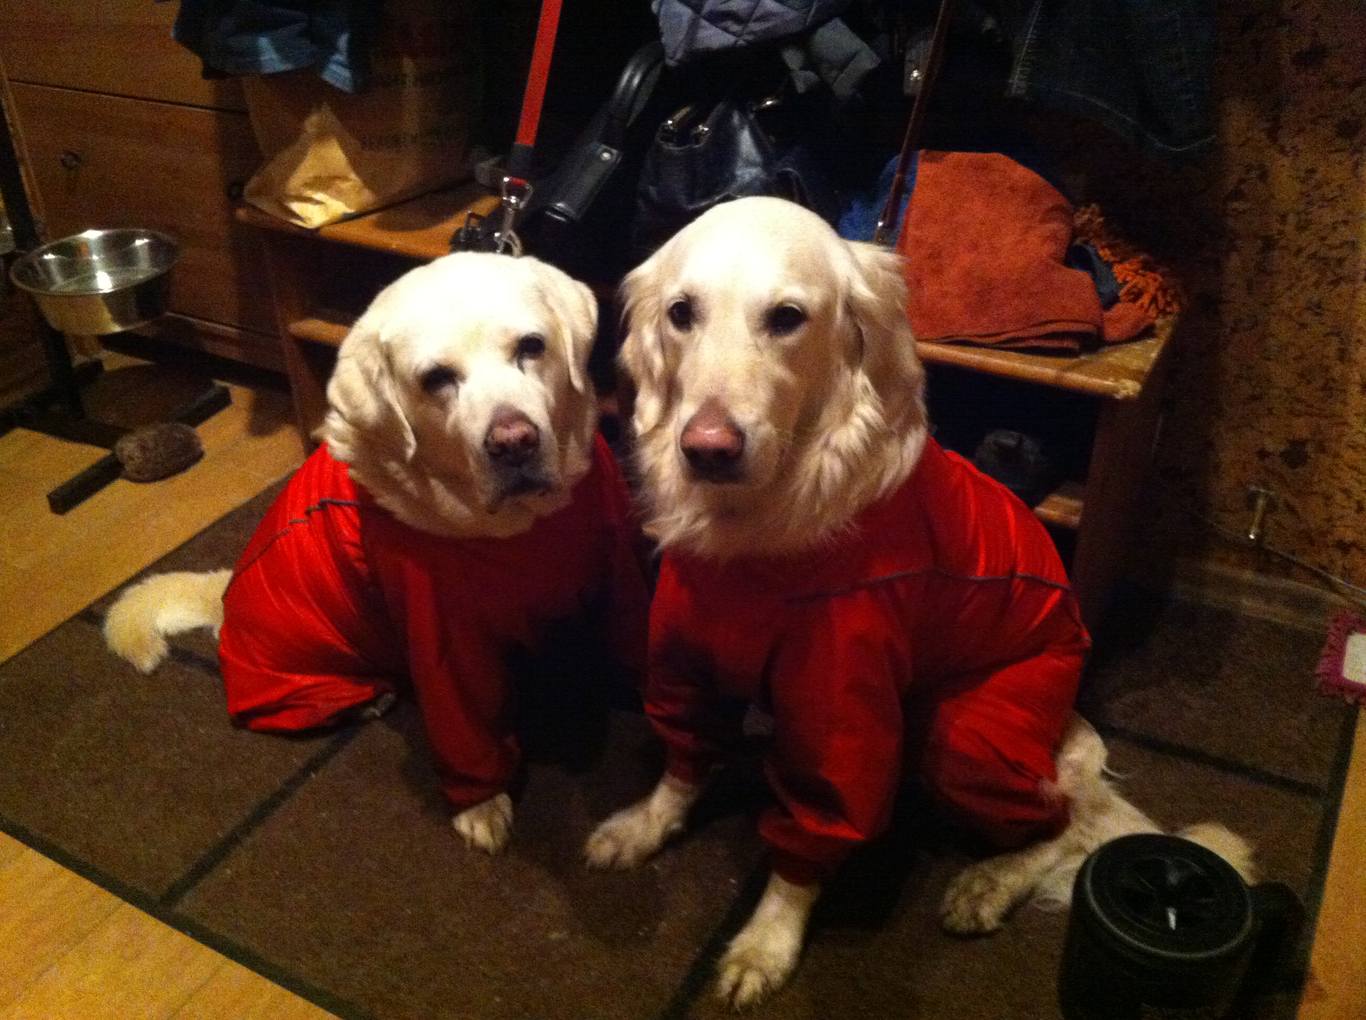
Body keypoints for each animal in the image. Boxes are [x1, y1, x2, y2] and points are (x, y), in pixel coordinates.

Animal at [106, 251, 647, 854]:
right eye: (437, 379)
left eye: (532, 346)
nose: (514, 442)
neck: (519, 530)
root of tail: (224, 595)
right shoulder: (444, 639)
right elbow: (466, 730)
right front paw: (480, 804)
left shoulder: (617, 566)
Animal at [583, 197, 1251, 1009]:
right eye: (682, 313)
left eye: (787, 317)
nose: (708, 448)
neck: (763, 528)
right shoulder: (684, 653)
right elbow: (682, 761)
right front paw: (645, 825)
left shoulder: (841, 710)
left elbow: (812, 831)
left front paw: (768, 941)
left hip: (968, 732)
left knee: (1072, 826)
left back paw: (987, 883)